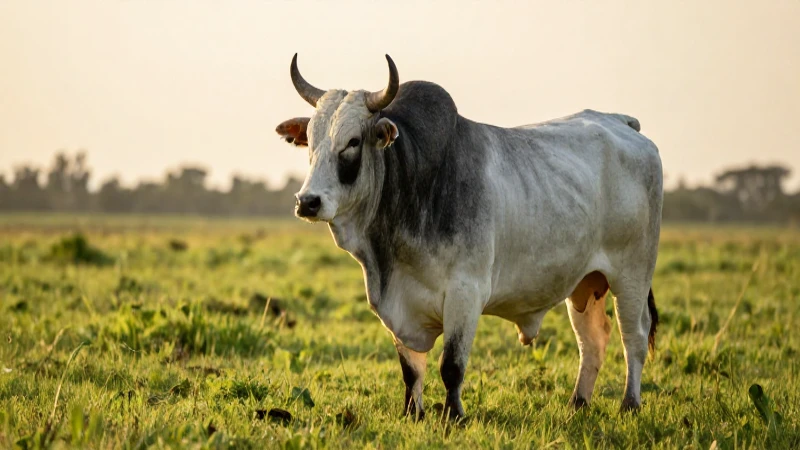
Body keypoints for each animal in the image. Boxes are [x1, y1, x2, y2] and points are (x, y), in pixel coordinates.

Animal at [276, 54, 662, 421]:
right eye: (310, 141)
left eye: (353, 141)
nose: (307, 201)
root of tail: (621, 121)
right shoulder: (399, 308)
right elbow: (411, 370)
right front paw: (412, 414)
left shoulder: (466, 294)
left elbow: (451, 366)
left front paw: (453, 415)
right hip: (584, 283)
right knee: (593, 340)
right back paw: (578, 404)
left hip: (632, 275)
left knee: (633, 336)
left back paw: (630, 404)